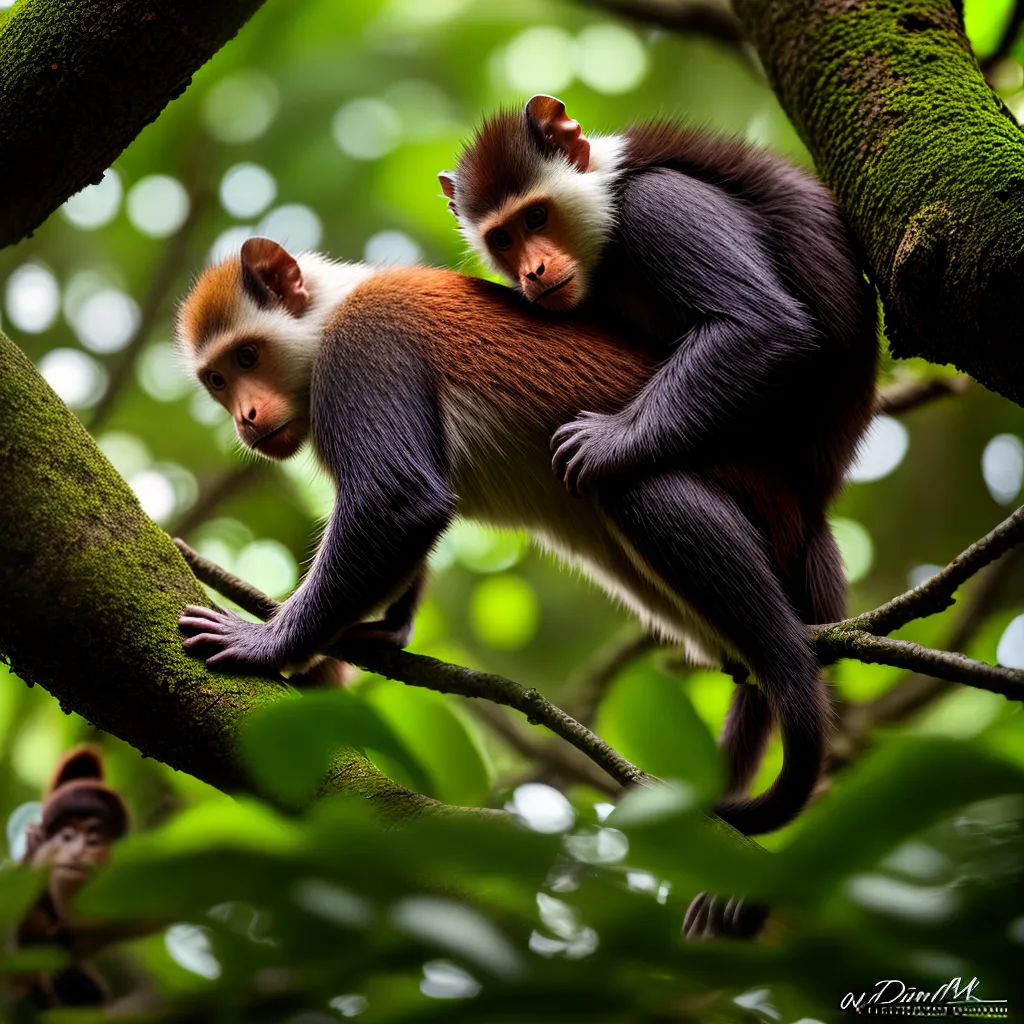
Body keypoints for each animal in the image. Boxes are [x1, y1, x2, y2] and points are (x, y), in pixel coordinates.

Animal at [176, 237, 839, 847]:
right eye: (218, 379)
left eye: (249, 355)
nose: (245, 417)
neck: (328, 313)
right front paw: (386, 629)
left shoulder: (365, 344)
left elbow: (399, 500)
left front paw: (267, 644)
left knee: (637, 487)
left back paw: (788, 671)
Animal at [439, 95, 879, 803]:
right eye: (501, 238)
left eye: (536, 216)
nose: (534, 270)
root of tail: (816, 503)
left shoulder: (660, 206)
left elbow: (764, 326)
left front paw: (605, 444)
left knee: (641, 486)